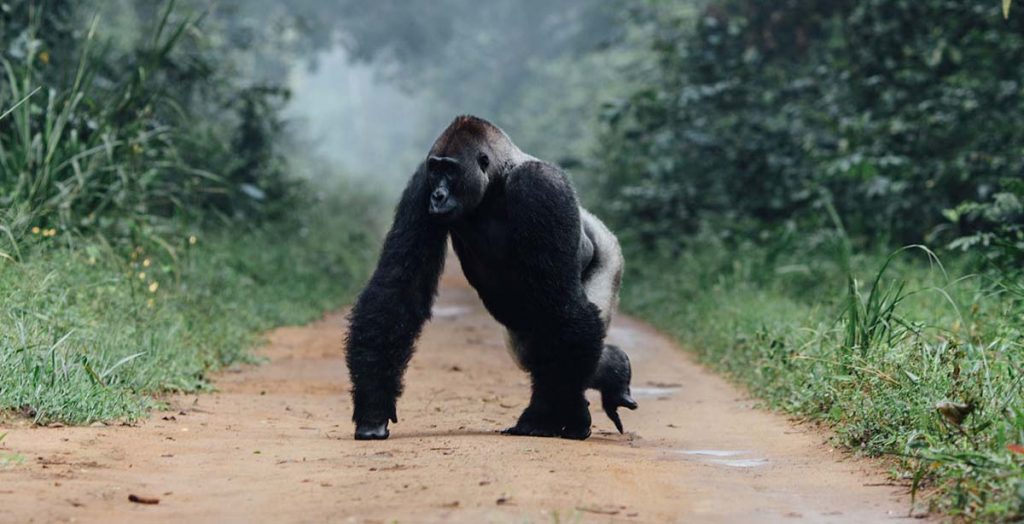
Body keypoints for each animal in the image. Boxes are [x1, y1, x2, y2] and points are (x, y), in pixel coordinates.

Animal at [345, 115, 636, 440]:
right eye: (435, 170)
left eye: (451, 170)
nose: (438, 196)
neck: (495, 182)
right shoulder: (420, 185)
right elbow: (398, 287)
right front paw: (373, 407)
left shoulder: (540, 187)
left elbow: (563, 306)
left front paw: (563, 414)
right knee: (537, 349)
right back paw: (610, 371)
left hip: (610, 256)